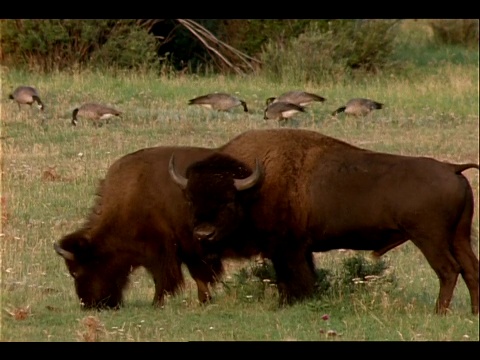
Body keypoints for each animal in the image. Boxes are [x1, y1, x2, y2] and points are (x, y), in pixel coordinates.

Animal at [53, 146, 227, 310]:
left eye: (75, 271)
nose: (89, 305)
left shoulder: (163, 249)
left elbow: (164, 277)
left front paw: (156, 303)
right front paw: (204, 300)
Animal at [171, 128, 478, 314]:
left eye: (227, 201)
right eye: (190, 199)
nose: (203, 234)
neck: (254, 186)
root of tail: (452, 168)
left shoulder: (288, 249)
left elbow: (292, 279)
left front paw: (289, 304)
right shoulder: (298, 249)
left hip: (429, 238)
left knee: (449, 270)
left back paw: (439, 312)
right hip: (459, 236)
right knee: (470, 269)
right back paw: (474, 312)